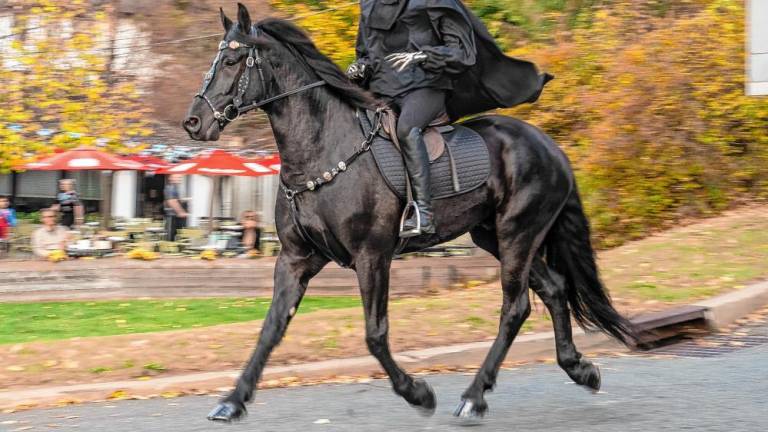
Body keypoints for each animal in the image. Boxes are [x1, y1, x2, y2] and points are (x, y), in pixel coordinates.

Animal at [183, 3, 632, 422]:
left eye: (232, 61)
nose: (194, 123)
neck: (322, 148)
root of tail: (551, 147)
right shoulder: (295, 259)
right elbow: (271, 328)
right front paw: (232, 401)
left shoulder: (372, 256)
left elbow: (375, 334)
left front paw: (419, 393)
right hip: (495, 236)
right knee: (554, 289)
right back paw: (579, 369)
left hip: (517, 234)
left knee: (516, 307)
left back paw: (475, 396)